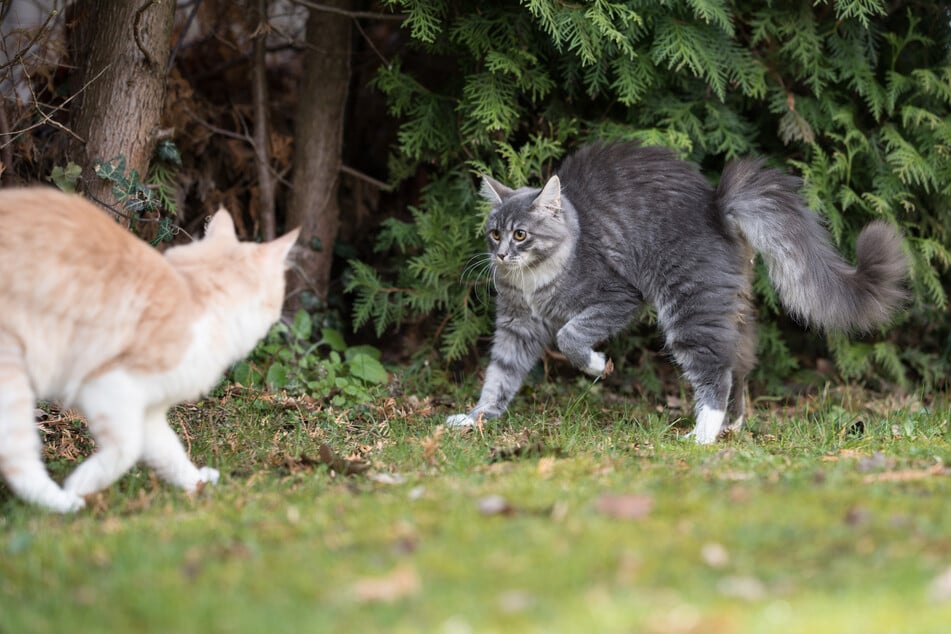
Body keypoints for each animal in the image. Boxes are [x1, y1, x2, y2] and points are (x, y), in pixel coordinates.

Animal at [0, 186, 298, 508]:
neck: (196, 295)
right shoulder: (108, 384)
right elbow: (127, 449)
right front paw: (81, 484)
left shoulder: (149, 411)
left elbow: (170, 453)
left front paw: (197, 483)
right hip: (13, 372)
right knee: (18, 455)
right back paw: (61, 502)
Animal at [450, 142, 912, 440]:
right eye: (494, 234)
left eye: (521, 235)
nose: (501, 255)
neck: (533, 279)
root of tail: (717, 206)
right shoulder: (516, 325)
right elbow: (500, 375)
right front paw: (477, 418)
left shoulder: (618, 298)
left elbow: (570, 337)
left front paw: (598, 366)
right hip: (724, 308)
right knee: (740, 362)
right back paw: (731, 425)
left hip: (689, 310)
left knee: (716, 372)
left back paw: (703, 435)